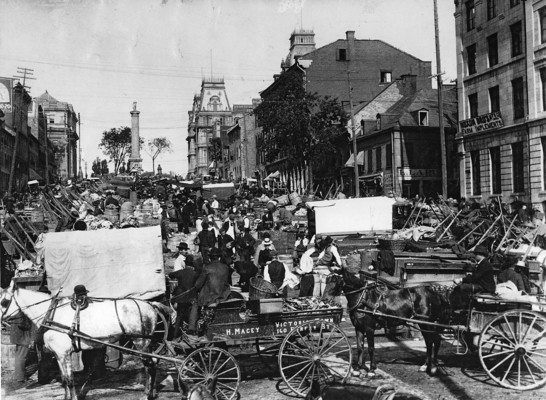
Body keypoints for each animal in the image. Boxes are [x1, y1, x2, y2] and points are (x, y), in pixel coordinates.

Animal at [0, 282, 169, 400]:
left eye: (4, 301)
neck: (51, 314)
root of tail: (150, 305)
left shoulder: (64, 354)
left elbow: (69, 380)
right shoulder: (60, 355)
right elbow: (64, 379)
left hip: (141, 342)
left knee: (150, 366)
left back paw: (147, 394)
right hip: (145, 344)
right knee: (152, 363)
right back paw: (150, 391)